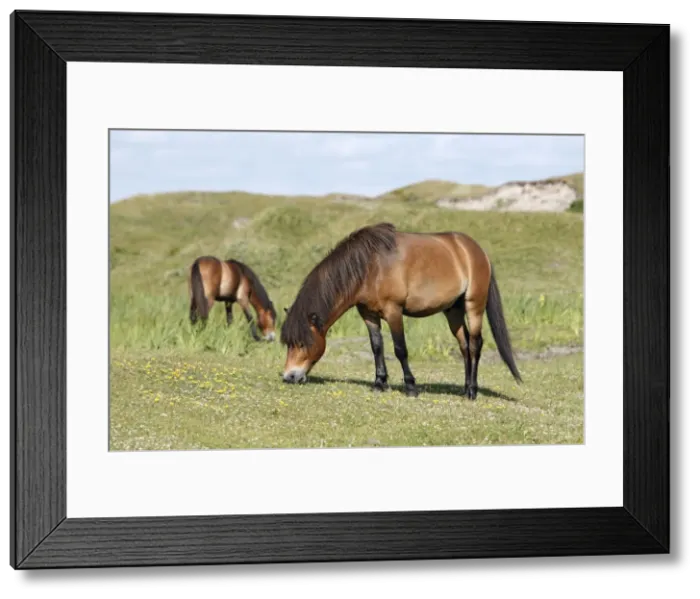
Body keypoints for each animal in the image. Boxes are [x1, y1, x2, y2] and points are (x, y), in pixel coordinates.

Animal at [279, 222, 522, 400]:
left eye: (302, 343)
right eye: (289, 343)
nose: (289, 376)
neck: (370, 267)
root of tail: (476, 250)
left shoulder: (393, 312)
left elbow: (400, 349)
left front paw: (411, 387)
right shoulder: (369, 315)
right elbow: (377, 347)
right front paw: (379, 383)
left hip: (474, 306)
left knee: (475, 344)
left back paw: (472, 391)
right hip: (453, 311)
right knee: (464, 346)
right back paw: (465, 387)